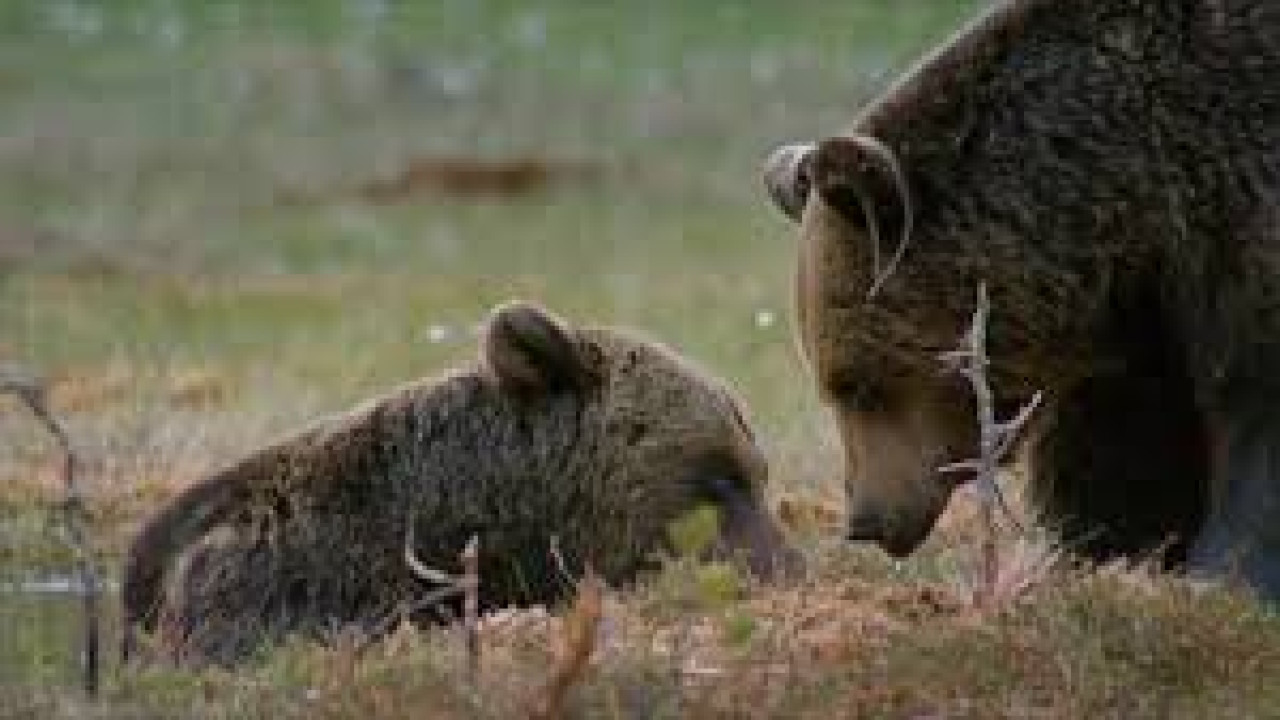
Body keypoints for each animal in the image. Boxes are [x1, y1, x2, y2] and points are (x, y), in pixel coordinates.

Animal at [761, 0, 1280, 599]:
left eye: (858, 386)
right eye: (834, 388)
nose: (865, 522)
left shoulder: (1239, 239)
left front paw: (1222, 574)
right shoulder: (1147, 318)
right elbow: (1128, 452)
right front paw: (1101, 553)